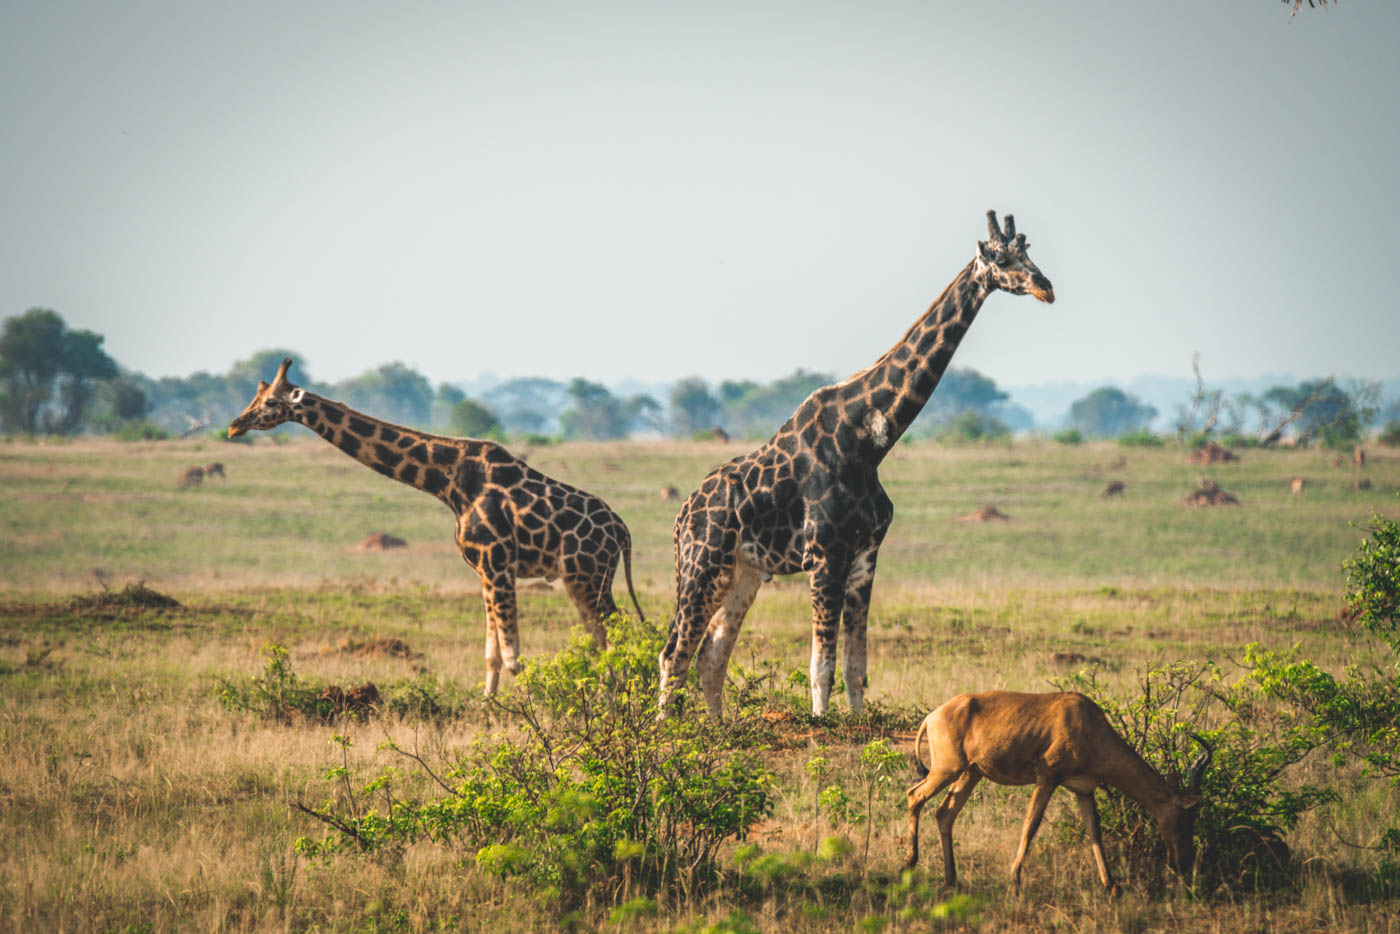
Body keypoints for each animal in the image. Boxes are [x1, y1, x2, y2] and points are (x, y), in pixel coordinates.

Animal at [229, 358, 644, 694]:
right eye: (255, 396)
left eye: (271, 403)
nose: (234, 426)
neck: (449, 483)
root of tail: (622, 531)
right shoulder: (484, 571)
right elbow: (493, 656)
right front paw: (490, 713)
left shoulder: (498, 565)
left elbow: (513, 657)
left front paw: (539, 714)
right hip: (588, 579)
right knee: (609, 637)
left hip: (584, 577)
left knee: (616, 637)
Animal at [660, 215, 1052, 722]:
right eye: (1002, 259)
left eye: (1030, 252)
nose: (1046, 288)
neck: (870, 443)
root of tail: (681, 516)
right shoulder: (825, 555)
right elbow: (820, 665)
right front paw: (820, 726)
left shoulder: (866, 554)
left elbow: (855, 667)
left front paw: (858, 723)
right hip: (702, 564)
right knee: (674, 651)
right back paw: (664, 728)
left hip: (742, 572)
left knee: (711, 652)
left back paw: (718, 729)